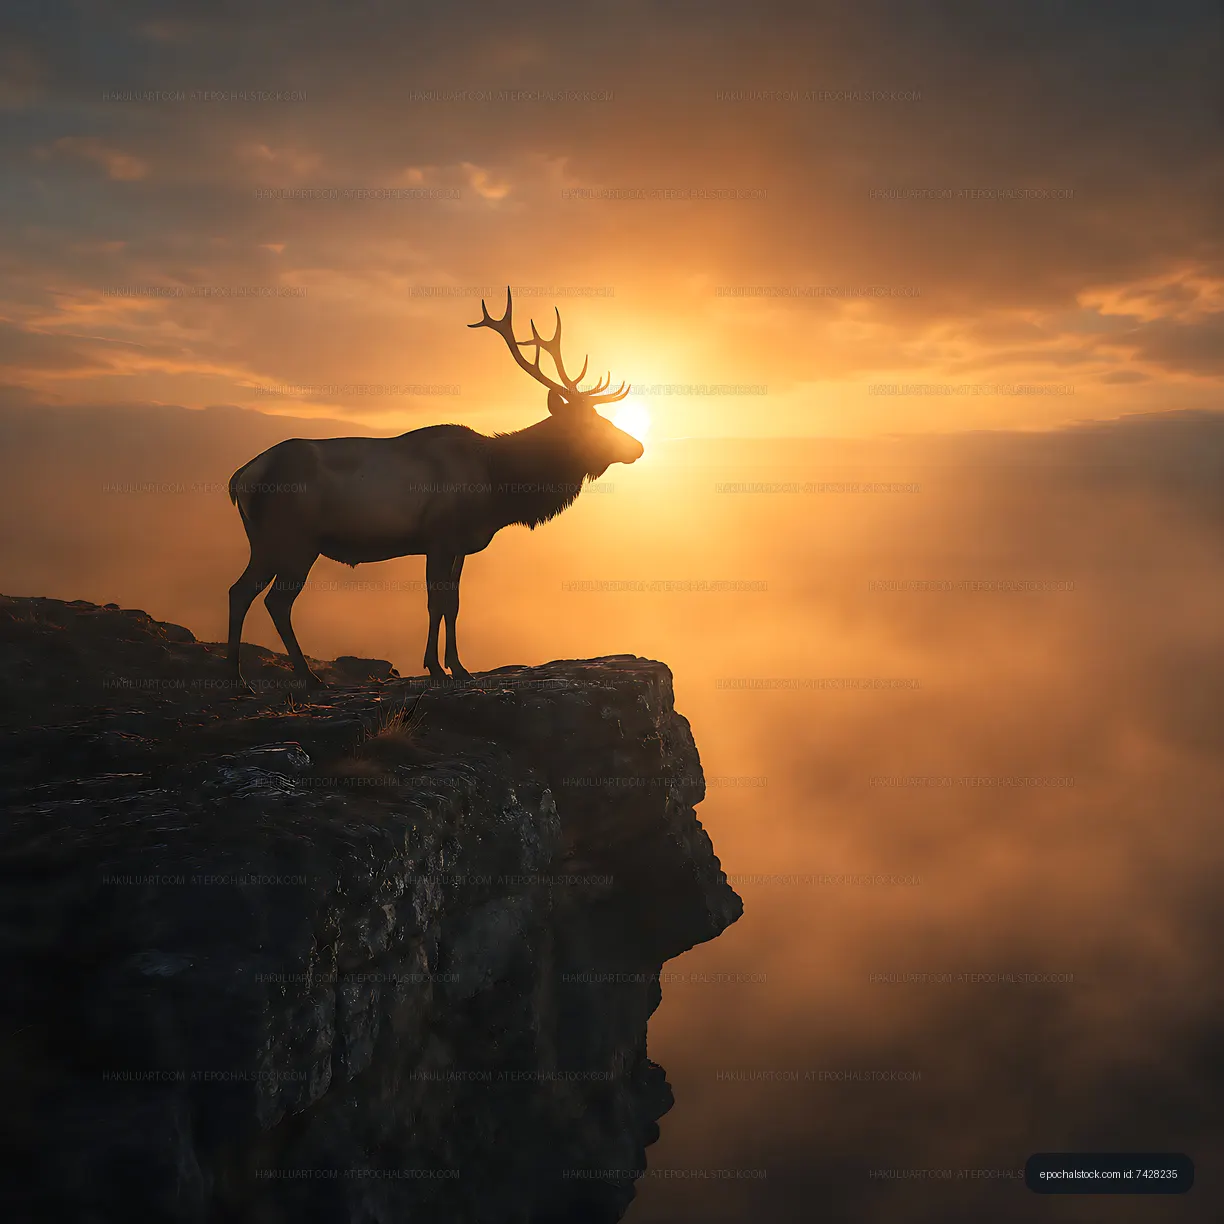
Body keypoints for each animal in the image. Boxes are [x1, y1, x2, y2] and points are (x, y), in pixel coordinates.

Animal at [226, 287, 643, 693]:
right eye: (591, 423)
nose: (637, 447)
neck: (498, 487)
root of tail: (240, 477)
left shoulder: (458, 545)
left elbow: (452, 604)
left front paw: (458, 668)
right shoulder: (440, 537)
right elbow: (435, 602)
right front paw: (437, 669)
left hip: (265, 542)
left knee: (241, 591)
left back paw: (239, 679)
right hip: (294, 540)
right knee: (275, 601)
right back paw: (300, 677)